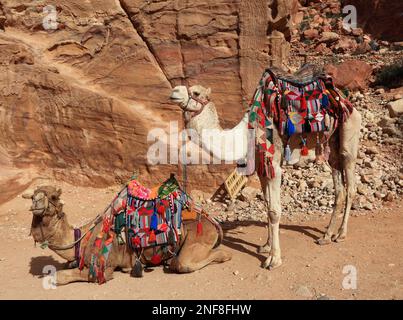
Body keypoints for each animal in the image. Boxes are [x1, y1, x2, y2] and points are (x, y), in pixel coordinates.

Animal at [22, 184, 230, 286]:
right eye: (32, 196)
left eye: (53, 197)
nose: (36, 203)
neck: (81, 240)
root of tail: (212, 221)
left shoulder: (103, 268)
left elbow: (61, 276)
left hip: (199, 234)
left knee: (183, 263)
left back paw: (224, 255)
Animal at [170, 78, 362, 270]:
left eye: (195, 92)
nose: (174, 91)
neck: (246, 134)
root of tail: (347, 101)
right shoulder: (262, 168)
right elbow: (268, 205)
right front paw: (266, 246)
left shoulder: (274, 166)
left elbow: (274, 211)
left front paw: (273, 259)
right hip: (331, 148)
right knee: (339, 190)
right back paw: (326, 236)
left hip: (349, 140)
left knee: (351, 185)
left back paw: (340, 234)